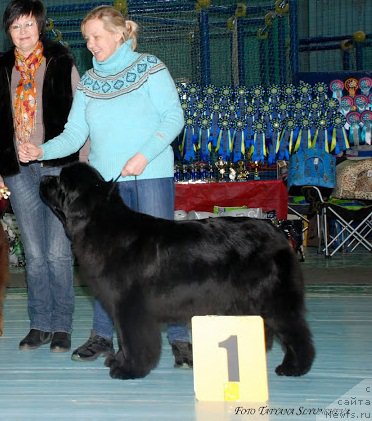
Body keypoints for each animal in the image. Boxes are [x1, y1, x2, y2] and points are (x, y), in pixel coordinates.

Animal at [40, 162, 314, 378]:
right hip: (246, 301)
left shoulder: (131, 306)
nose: (42, 178)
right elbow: (123, 338)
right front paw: (119, 360)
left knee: (296, 332)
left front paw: (129, 369)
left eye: (60, 181)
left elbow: (132, 339)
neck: (101, 224)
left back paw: (294, 367)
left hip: (273, 299)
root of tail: (279, 232)